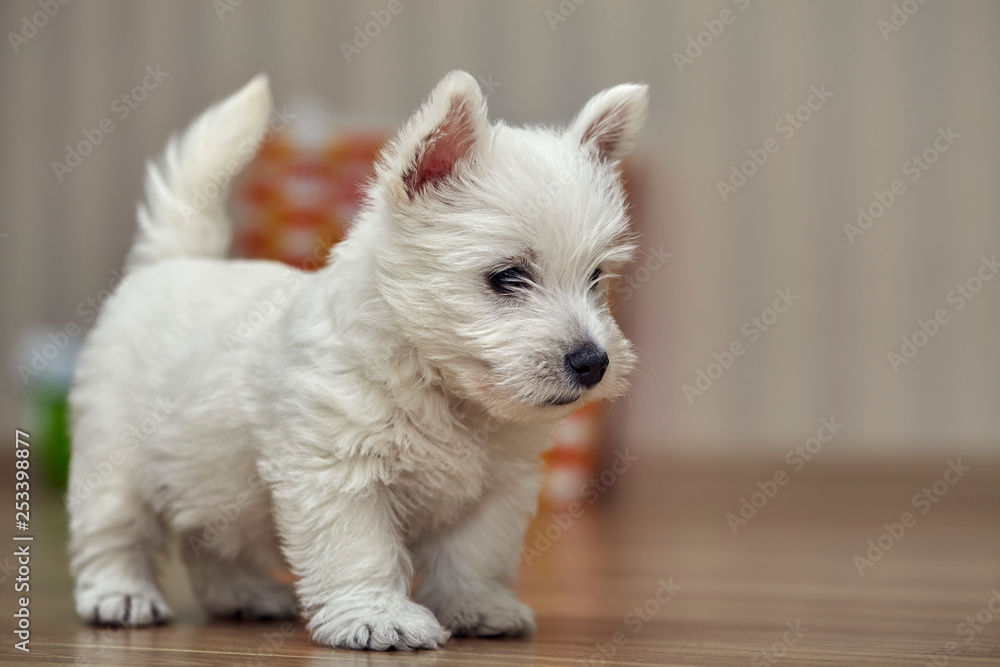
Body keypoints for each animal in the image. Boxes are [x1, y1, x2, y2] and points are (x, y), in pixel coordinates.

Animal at [70, 70, 648, 648]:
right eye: (507, 277)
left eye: (596, 277)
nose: (593, 362)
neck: (435, 384)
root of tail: (174, 262)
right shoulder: (340, 472)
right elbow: (360, 551)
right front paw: (379, 617)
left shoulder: (497, 489)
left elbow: (475, 555)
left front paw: (477, 606)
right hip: (114, 458)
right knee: (115, 531)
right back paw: (121, 596)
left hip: (209, 478)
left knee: (210, 540)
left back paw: (244, 594)